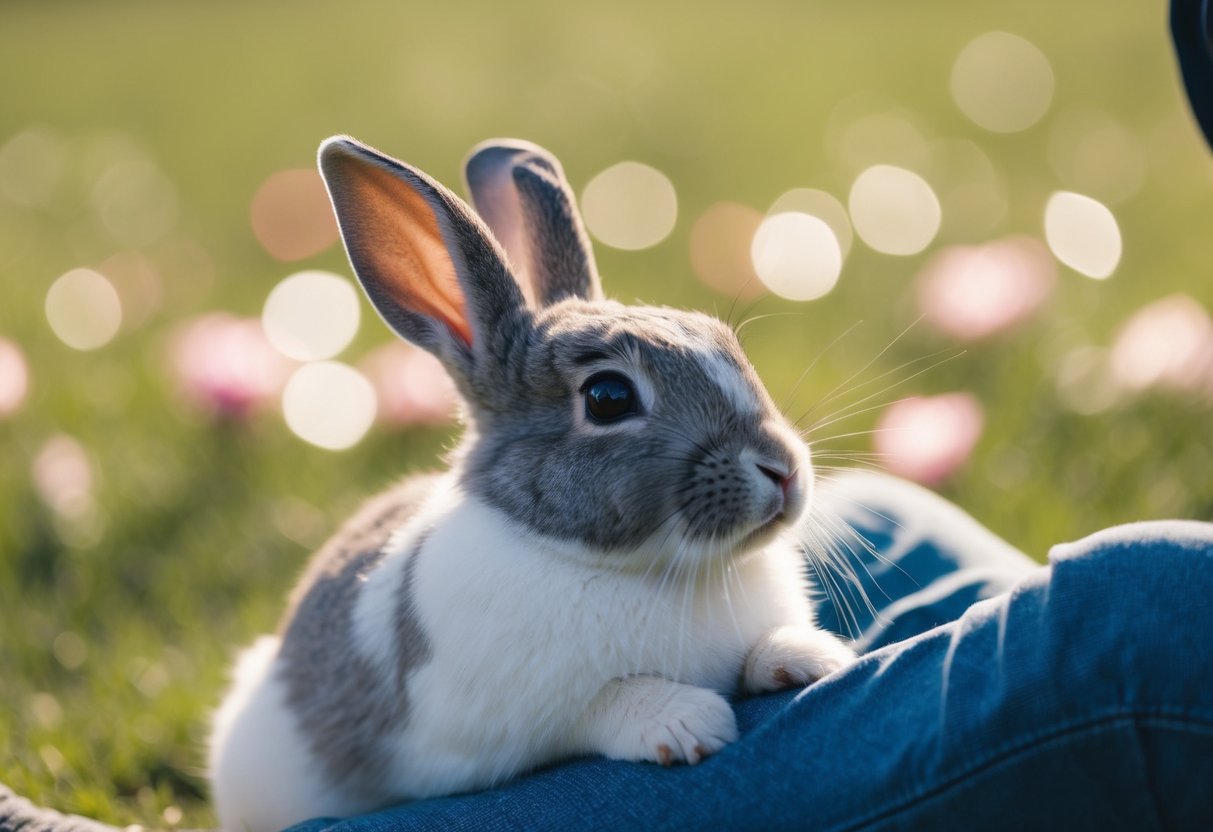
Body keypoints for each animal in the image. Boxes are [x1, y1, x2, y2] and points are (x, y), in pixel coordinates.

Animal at [207, 135, 857, 832]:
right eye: (607, 397)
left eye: (727, 344)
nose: (783, 469)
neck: (646, 570)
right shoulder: (484, 730)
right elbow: (596, 705)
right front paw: (685, 723)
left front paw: (808, 658)